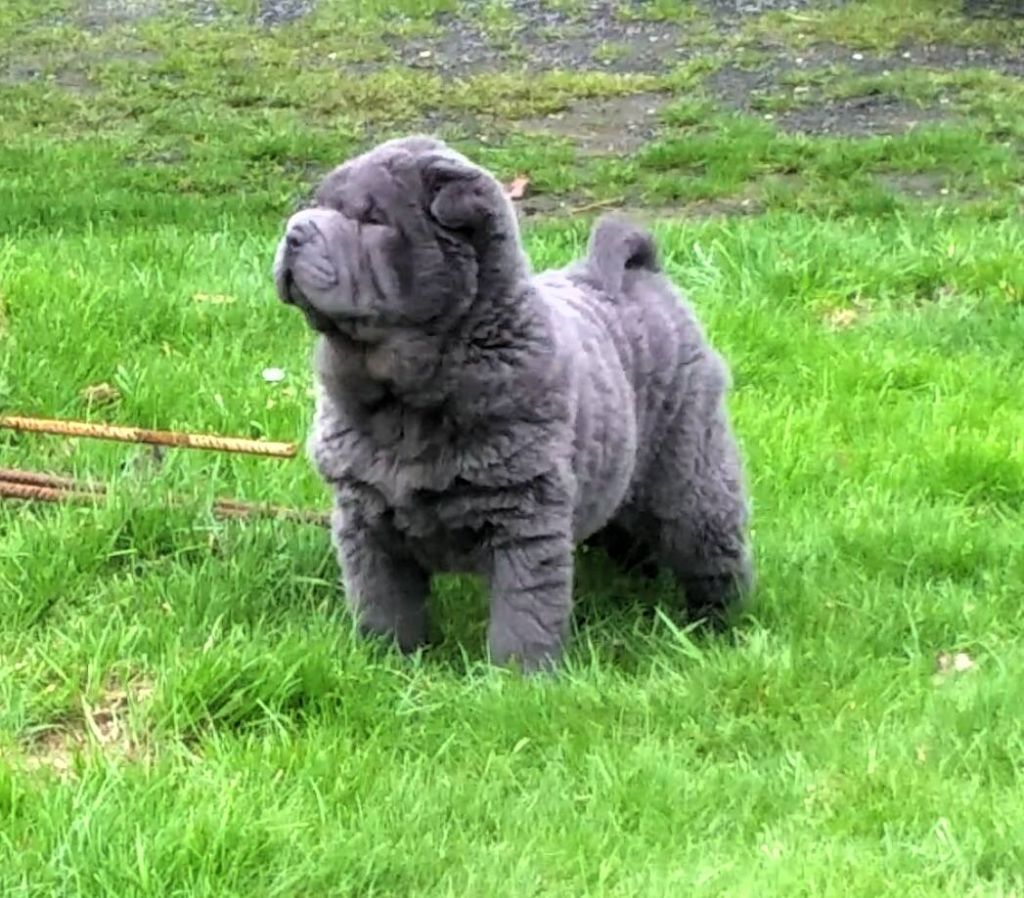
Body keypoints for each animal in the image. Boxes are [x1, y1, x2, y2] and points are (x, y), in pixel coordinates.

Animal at [273, 135, 753, 671]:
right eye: (318, 205)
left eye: (372, 219)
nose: (294, 231)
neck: (403, 403)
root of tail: (641, 271)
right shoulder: (366, 516)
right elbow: (382, 600)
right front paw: (387, 661)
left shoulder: (524, 515)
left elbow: (523, 610)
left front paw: (519, 678)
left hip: (688, 473)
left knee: (712, 547)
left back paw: (716, 630)